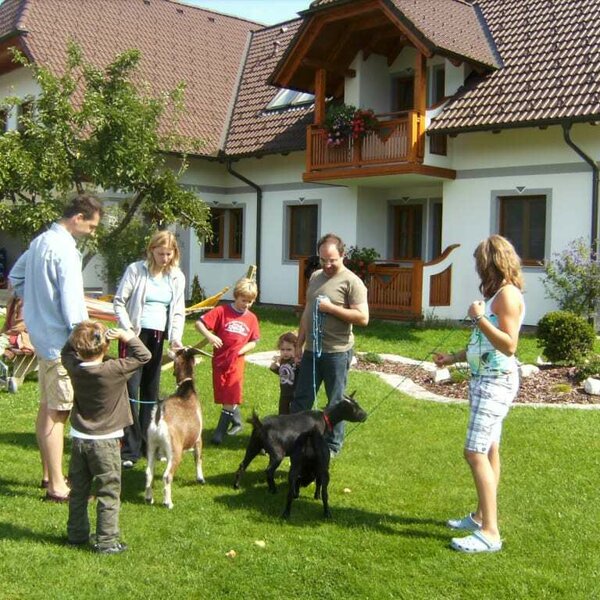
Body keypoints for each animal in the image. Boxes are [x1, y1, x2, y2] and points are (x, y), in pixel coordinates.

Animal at [145, 346, 204, 510]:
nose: (172, 348)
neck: (186, 391)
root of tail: (160, 419)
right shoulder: (198, 438)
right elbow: (198, 458)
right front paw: (200, 478)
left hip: (151, 446)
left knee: (149, 472)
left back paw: (149, 498)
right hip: (175, 452)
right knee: (167, 476)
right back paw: (168, 503)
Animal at [233, 392, 366, 494]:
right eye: (354, 409)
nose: (365, 415)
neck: (325, 418)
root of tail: (260, 426)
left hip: (253, 445)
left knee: (242, 465)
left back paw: (236, 486)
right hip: (277, 453)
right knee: (269, 470)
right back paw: (273, 490)